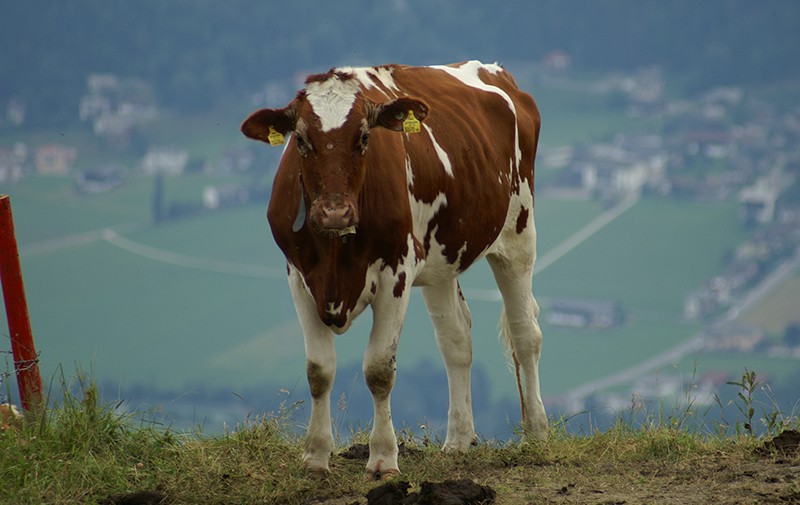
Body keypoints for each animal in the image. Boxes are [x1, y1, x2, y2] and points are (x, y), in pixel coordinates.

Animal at [241, 60, 545, 479]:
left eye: (364, 136)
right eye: (300, 139)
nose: (335, 212)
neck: (337, 252)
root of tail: (495, 71)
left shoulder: (396, 273)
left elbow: (379, 370)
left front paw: (383, 458)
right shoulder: (300, 277)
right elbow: (319, 371)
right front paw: (316, 456)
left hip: (518, 234)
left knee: (524, 334)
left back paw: (536, 433)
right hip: (441, 259)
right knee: (456, 340)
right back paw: (458, 440)